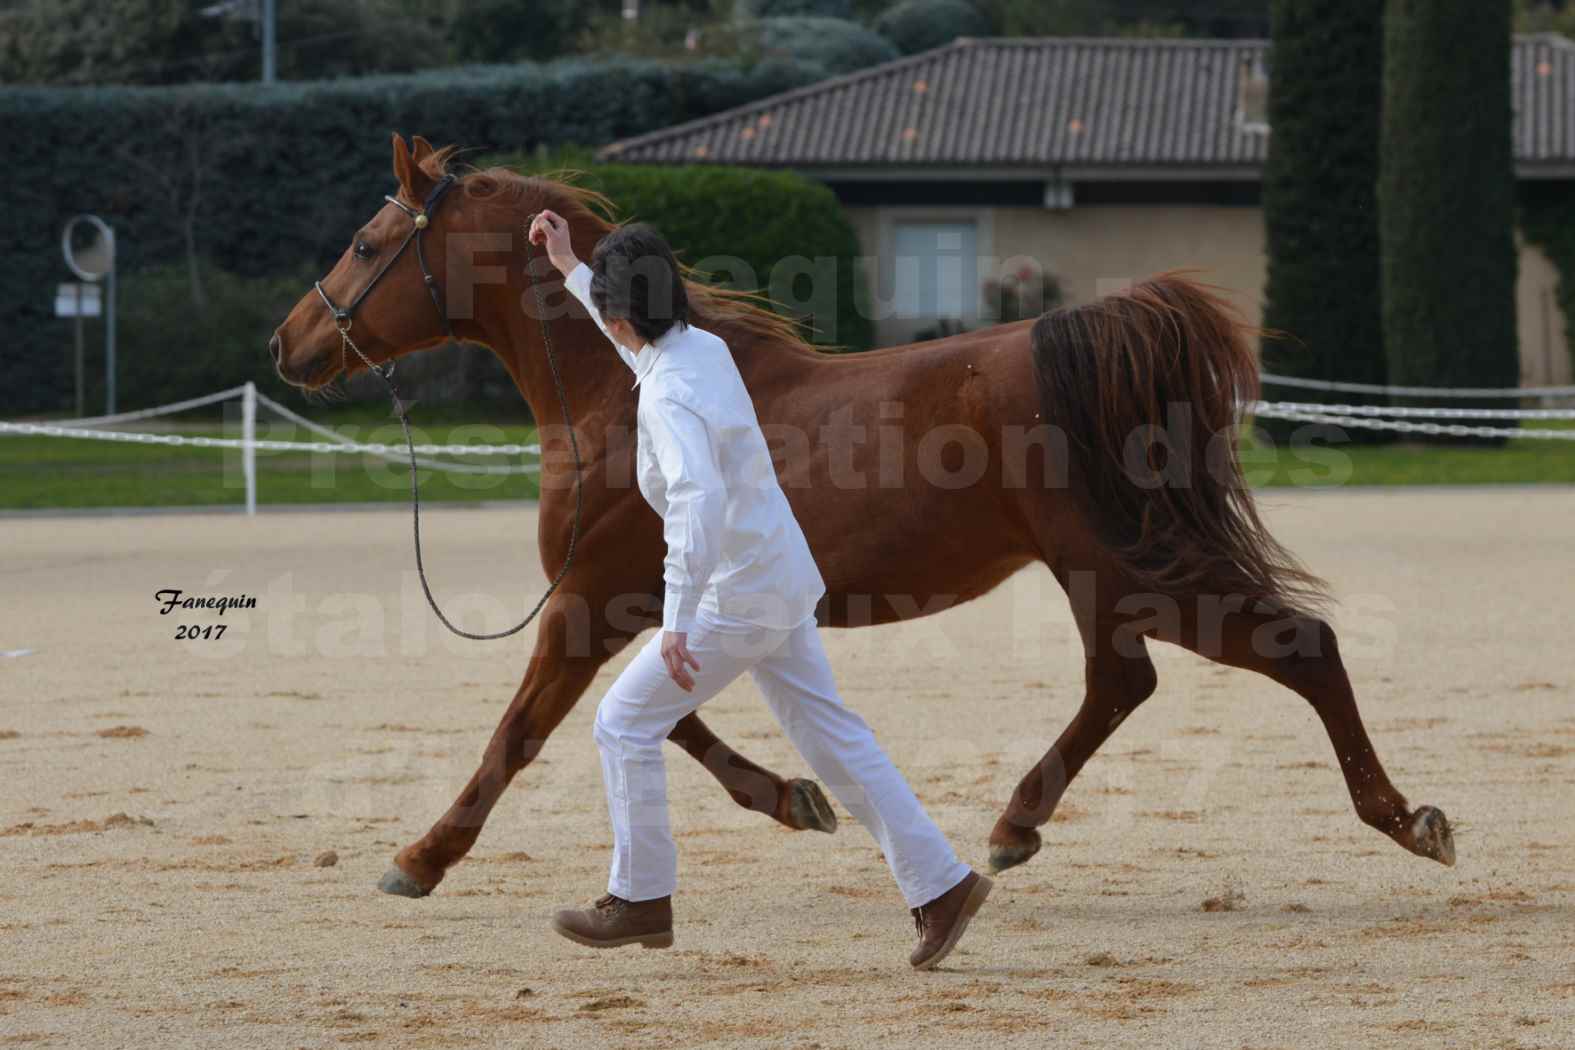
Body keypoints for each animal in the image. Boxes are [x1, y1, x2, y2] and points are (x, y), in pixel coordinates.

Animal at [267, 135, 1449, 900]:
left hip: (1128, 566)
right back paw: (1017, 829)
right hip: (1099, 575)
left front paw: (418, 859)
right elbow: (664, 717)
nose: (290, 344)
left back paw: (1403, 821)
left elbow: (521, 731)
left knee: (1290, 649)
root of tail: (1077, 339)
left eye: (367, 243)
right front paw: (794, 796)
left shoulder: (588, 601)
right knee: (1131, 683)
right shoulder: (650, 607)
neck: (621, 390)